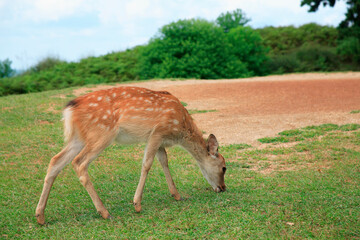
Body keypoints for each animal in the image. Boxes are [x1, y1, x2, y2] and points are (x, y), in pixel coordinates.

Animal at [34, 85, 225, 224]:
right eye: (224, 167)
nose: (223, 188)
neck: (180, 129)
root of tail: (69, 110)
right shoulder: (158, 132)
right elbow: (147, 164)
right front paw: (137, 204)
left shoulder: (158, 140)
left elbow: (164, 161)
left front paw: (177, 195)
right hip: (102, 133)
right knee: (79, 163)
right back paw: (105, 212)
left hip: (78, 138)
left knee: (55, 161)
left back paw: (40, 216)